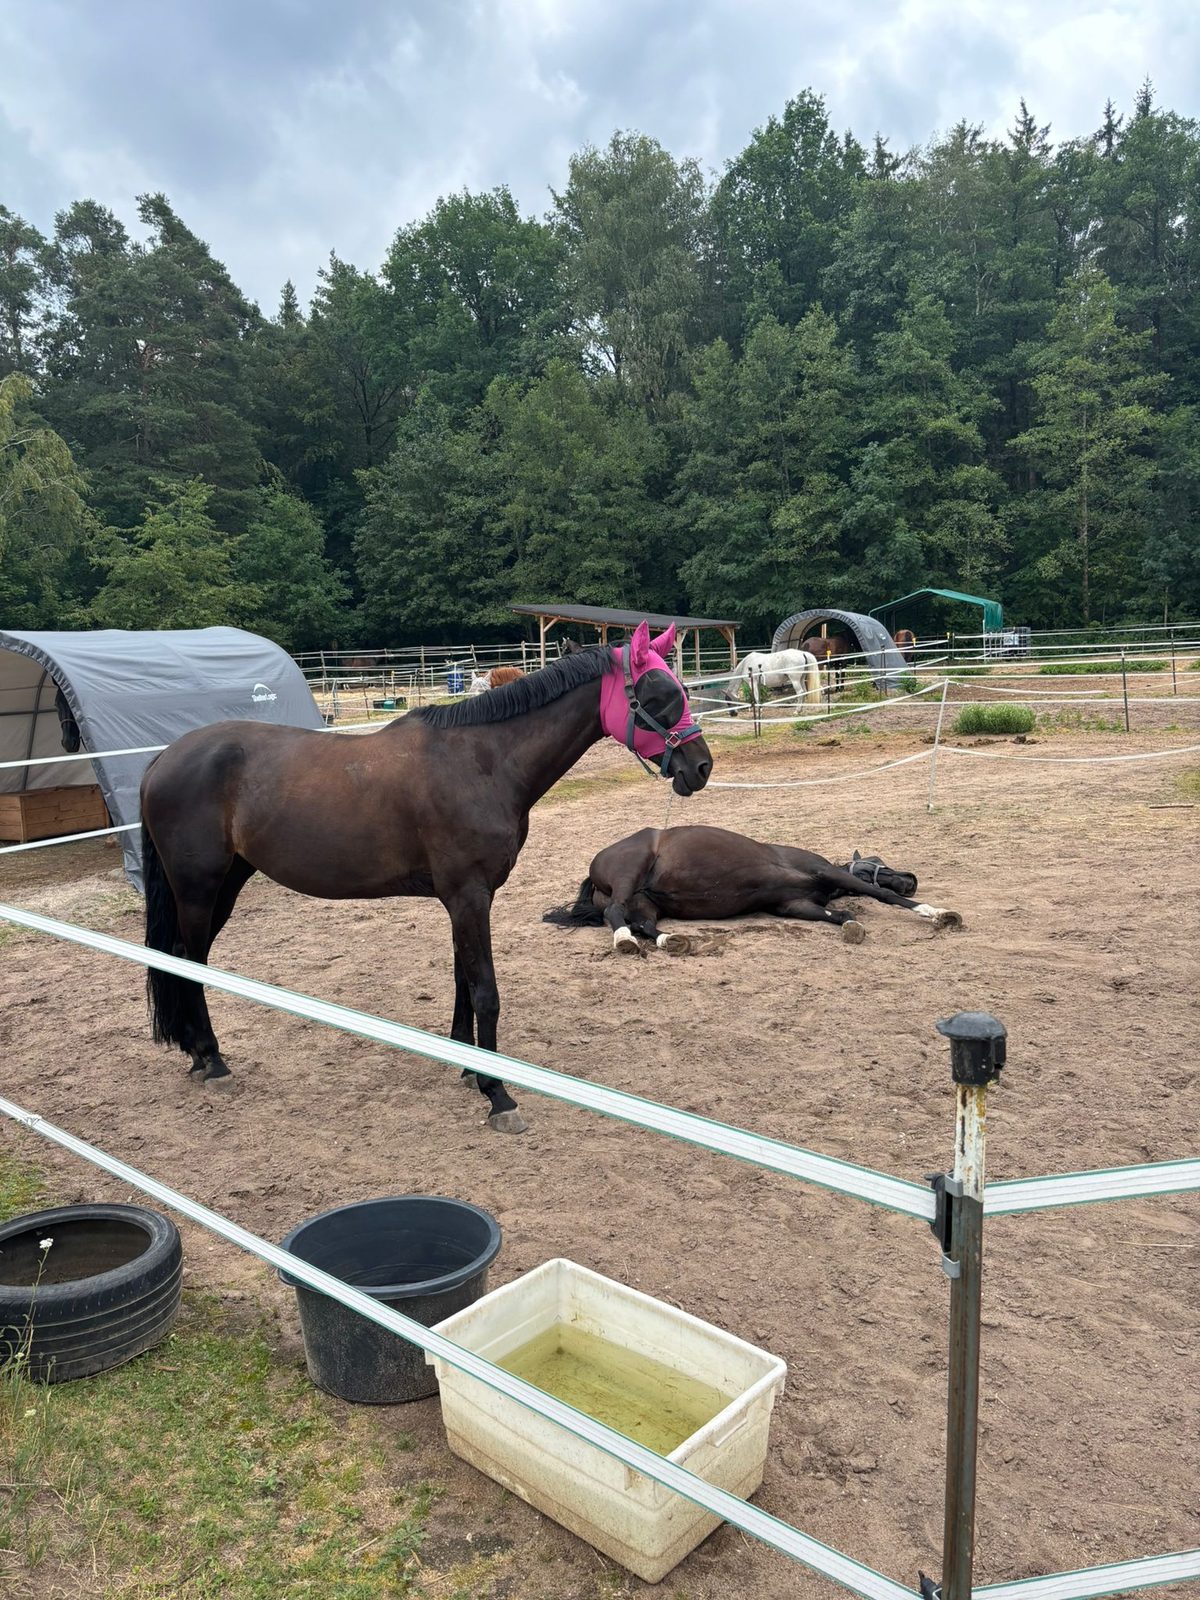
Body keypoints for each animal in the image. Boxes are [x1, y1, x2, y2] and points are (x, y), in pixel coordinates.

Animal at [139, 622, 712, 1132]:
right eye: (657, 694)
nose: (701, 767)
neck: (482, 762)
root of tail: (164, 758)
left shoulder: (467, 898)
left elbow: (463, 977)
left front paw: (467, 1065)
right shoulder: (468, 896)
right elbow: (485, 989)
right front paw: (498, 1095)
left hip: (226, 884)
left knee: (184, 959)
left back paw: (196, 1054)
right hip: (198, 887)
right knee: (189, 962)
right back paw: (213, 1060)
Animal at [544, 826, 960, 952]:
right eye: (876, 863)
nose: (911, 879)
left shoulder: (792, 904)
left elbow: (833, 914)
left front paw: (848, 923)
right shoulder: (827, 873)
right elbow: (882, 895)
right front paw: (940, 914)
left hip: (645, 903)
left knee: (644, 924)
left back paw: (670, 941)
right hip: (628, 876)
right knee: (618, 916)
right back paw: (624, 942)